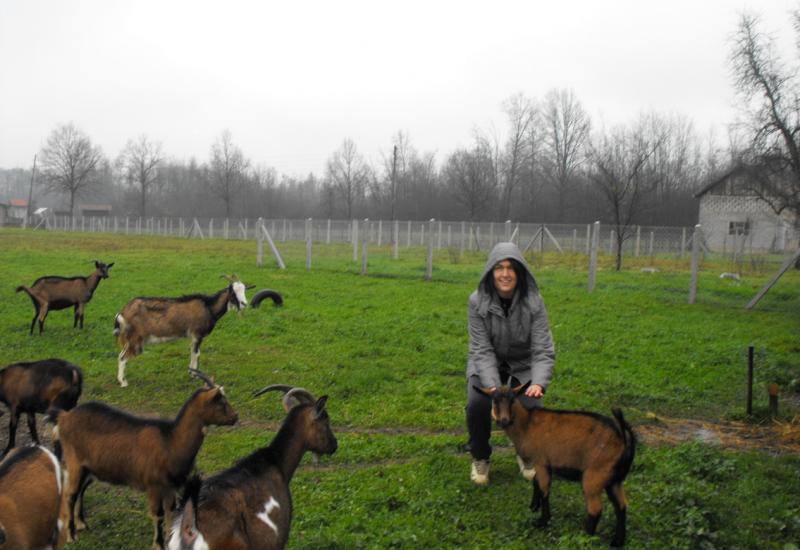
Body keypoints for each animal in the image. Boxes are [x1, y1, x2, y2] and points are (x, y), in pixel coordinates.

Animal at [53, 370, 238, 550]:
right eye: (220, 401)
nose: (235, 417)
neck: (170, 441)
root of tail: (64, 418)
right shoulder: (154, 486)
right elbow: (158, 515)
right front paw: (159, 544)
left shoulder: (170, 487)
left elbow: (171, 512)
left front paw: (170, 540)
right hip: (75, 462)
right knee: (70, 494)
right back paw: (71, 535)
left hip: (90, 468)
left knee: (81, 490)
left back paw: (82, 524)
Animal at [114, 276, 282, 388]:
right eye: (232, 291)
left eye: (244, 290)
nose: (244, 304)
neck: (209, 307)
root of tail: (124, 311)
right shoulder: (197, 334)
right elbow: (196, 353)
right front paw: (194, 375)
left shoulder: (194, 336)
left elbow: (194, 353)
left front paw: (193, 373)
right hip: (136, 340)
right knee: (123, 357)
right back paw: (123, 382)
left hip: (130, 339)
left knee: (121, 355)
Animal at [476, 384, 636, 548]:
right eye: (494, 401)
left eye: (512, 400)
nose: (504, 420)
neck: (526, 424)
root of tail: (624, 439)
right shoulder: (541, 464)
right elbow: (536, 483)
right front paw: (534, 506)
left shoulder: (541, 462)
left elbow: (544, 490)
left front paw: (542, 521)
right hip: (614, 479)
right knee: (622, 506)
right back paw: (617, 541)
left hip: (595, 475)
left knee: (595, 509)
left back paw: (584, 536)